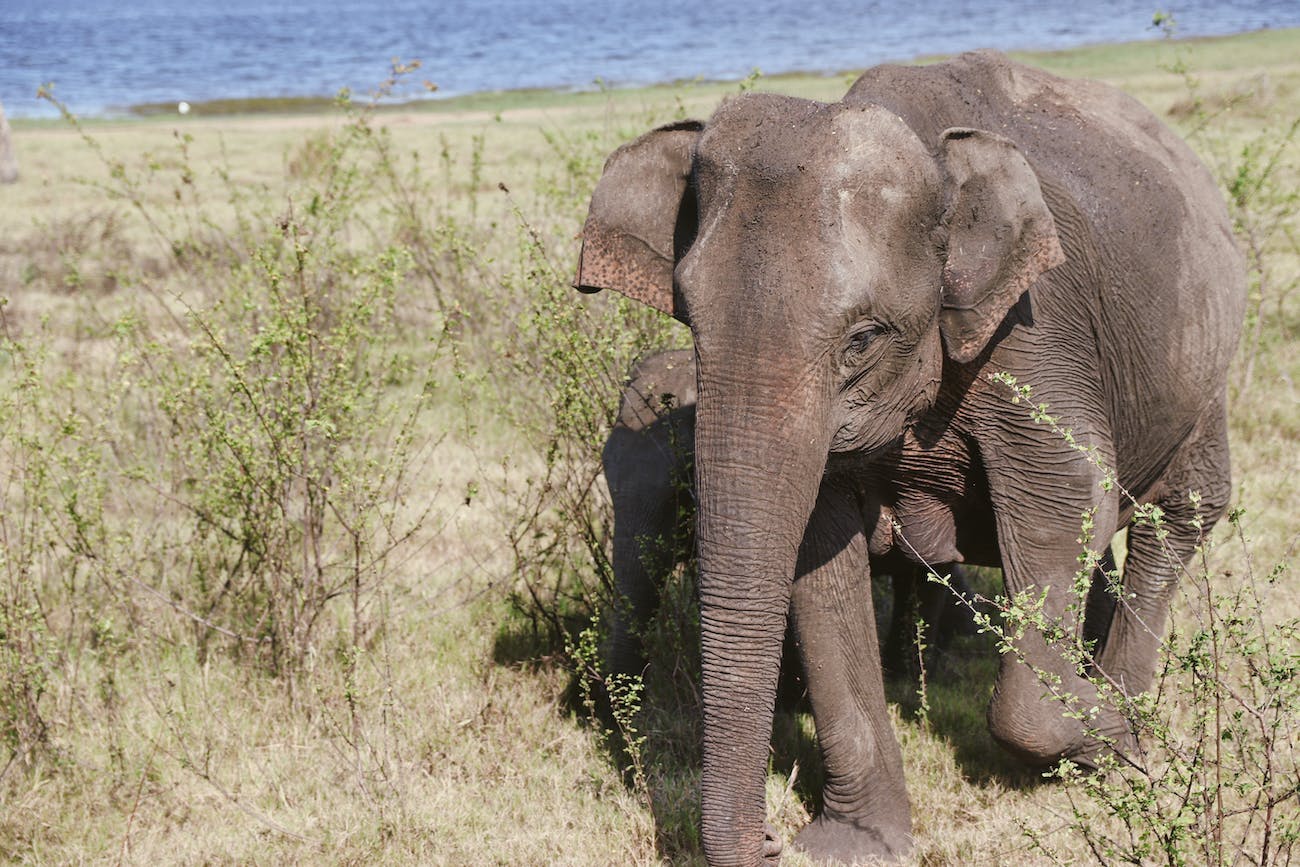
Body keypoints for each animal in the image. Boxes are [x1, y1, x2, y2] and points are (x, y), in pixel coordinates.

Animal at [574, 52, 1242, 867]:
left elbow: (1063, 499)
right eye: (690, 322)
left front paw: (1105, 735)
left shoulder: (1036, 330)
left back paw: (1124, 711)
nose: (770, 837)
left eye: (862, 339)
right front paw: (853, 843)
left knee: (1177, 515)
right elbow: (819, 549)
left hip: (1205, 373)